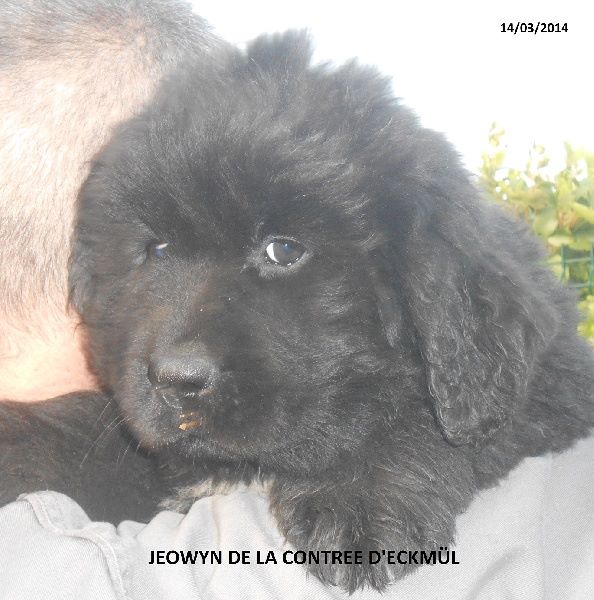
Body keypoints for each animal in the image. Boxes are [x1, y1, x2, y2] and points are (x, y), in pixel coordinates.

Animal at [1, 31, 593, 592]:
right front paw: (20, 438)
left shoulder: (547, 385)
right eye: (158, 250)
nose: (177, 379)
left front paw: (360, 495)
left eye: (283, 251)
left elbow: (418, 415)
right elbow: (101, 432)